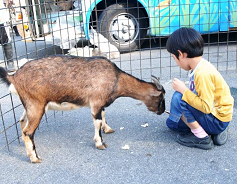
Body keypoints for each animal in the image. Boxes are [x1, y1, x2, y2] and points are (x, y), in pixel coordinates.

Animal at [0, 55, 165, 162]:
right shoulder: (96, 101)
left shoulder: (99, 102)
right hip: (36, 105)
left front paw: (108, 129)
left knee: (22, 122)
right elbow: (97, 121)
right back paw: (35, 157)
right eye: (161, 98)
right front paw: (100, 143)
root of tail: (14, 77)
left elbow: (103, 115)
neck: (117, 80)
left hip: (30, 105)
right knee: (28, 131)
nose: (162, 111)